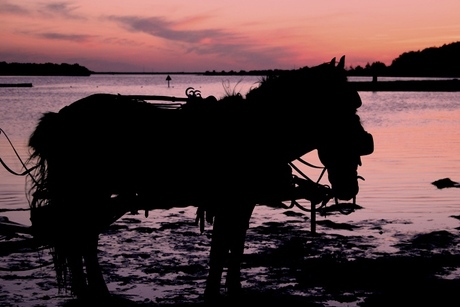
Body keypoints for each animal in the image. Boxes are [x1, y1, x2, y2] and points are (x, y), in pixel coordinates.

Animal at [26, 56, 374, 304]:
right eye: (348, 104)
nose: (367, 143)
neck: (256, 130)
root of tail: (59, 118)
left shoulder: (242, 204)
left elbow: (234, 247)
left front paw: (233, 291)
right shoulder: (229, 203)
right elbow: (220, 250)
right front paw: (213, 295)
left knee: (79, 237)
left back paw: (89, 291)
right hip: (88, 193)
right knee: (80, 238)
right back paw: (95, 293)